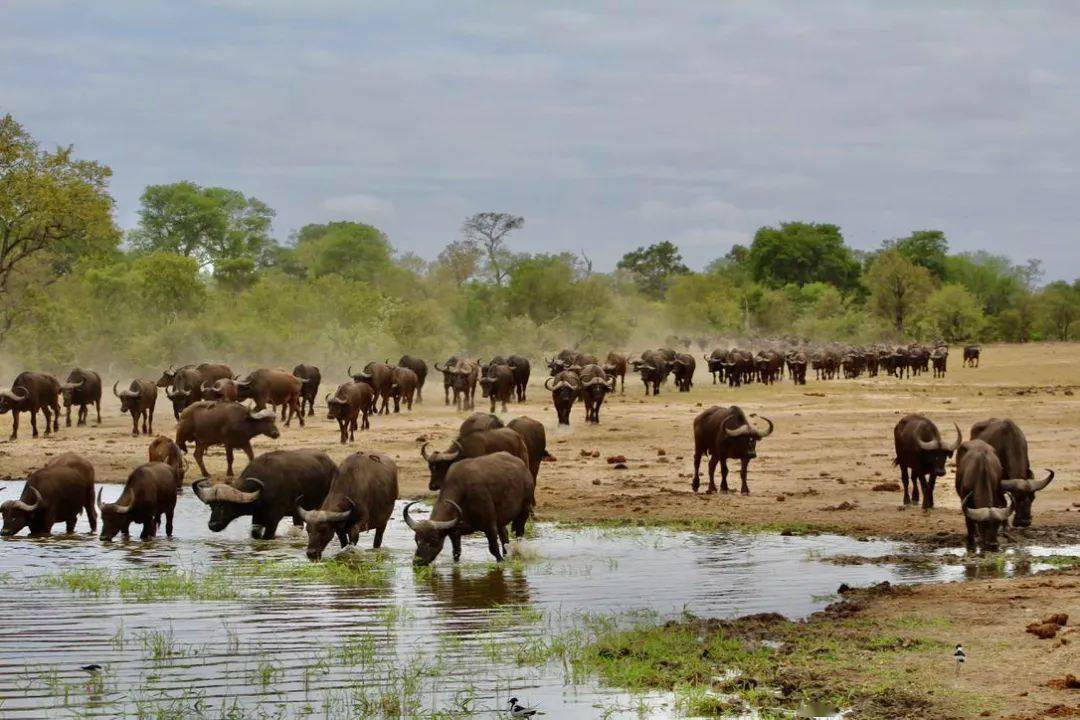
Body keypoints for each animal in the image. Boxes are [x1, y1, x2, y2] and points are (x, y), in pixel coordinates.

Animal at [191, 446, 332, 537]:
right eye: (211, 506)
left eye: (225, 505)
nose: (212, 525)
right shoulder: (257, 518)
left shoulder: (273, 520)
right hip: (297, 513)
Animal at [406, 453, 535, 565]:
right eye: (416, 539)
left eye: (433, 540)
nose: (417, 562)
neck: (464, 494)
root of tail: (523, 467)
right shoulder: (454, 533)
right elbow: (456, 553)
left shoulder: (489, 526)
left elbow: (493, 549)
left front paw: (501, 561)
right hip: (501, 520)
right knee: (505, 535)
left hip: (525, 510)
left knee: (519, 534)